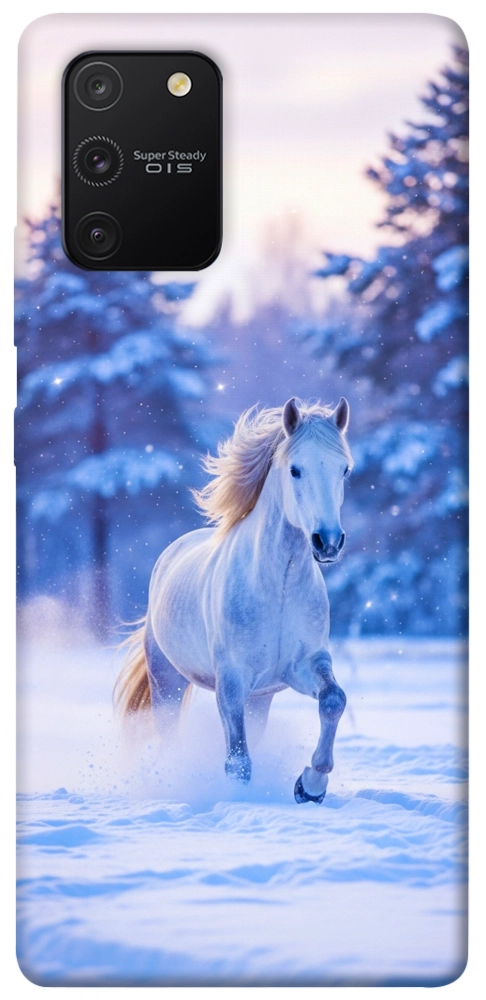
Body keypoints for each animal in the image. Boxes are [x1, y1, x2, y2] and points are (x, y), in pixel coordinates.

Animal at [115, 396, 353, 803]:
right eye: (295, 470)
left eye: (344, 470)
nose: (328, 542)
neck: (278, 587)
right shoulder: (231, 680)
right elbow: (238, 761)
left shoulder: (303, 665)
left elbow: (334, 700)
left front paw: (310, 786)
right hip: (167, 681)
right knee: (169, 736)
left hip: (260, 698)